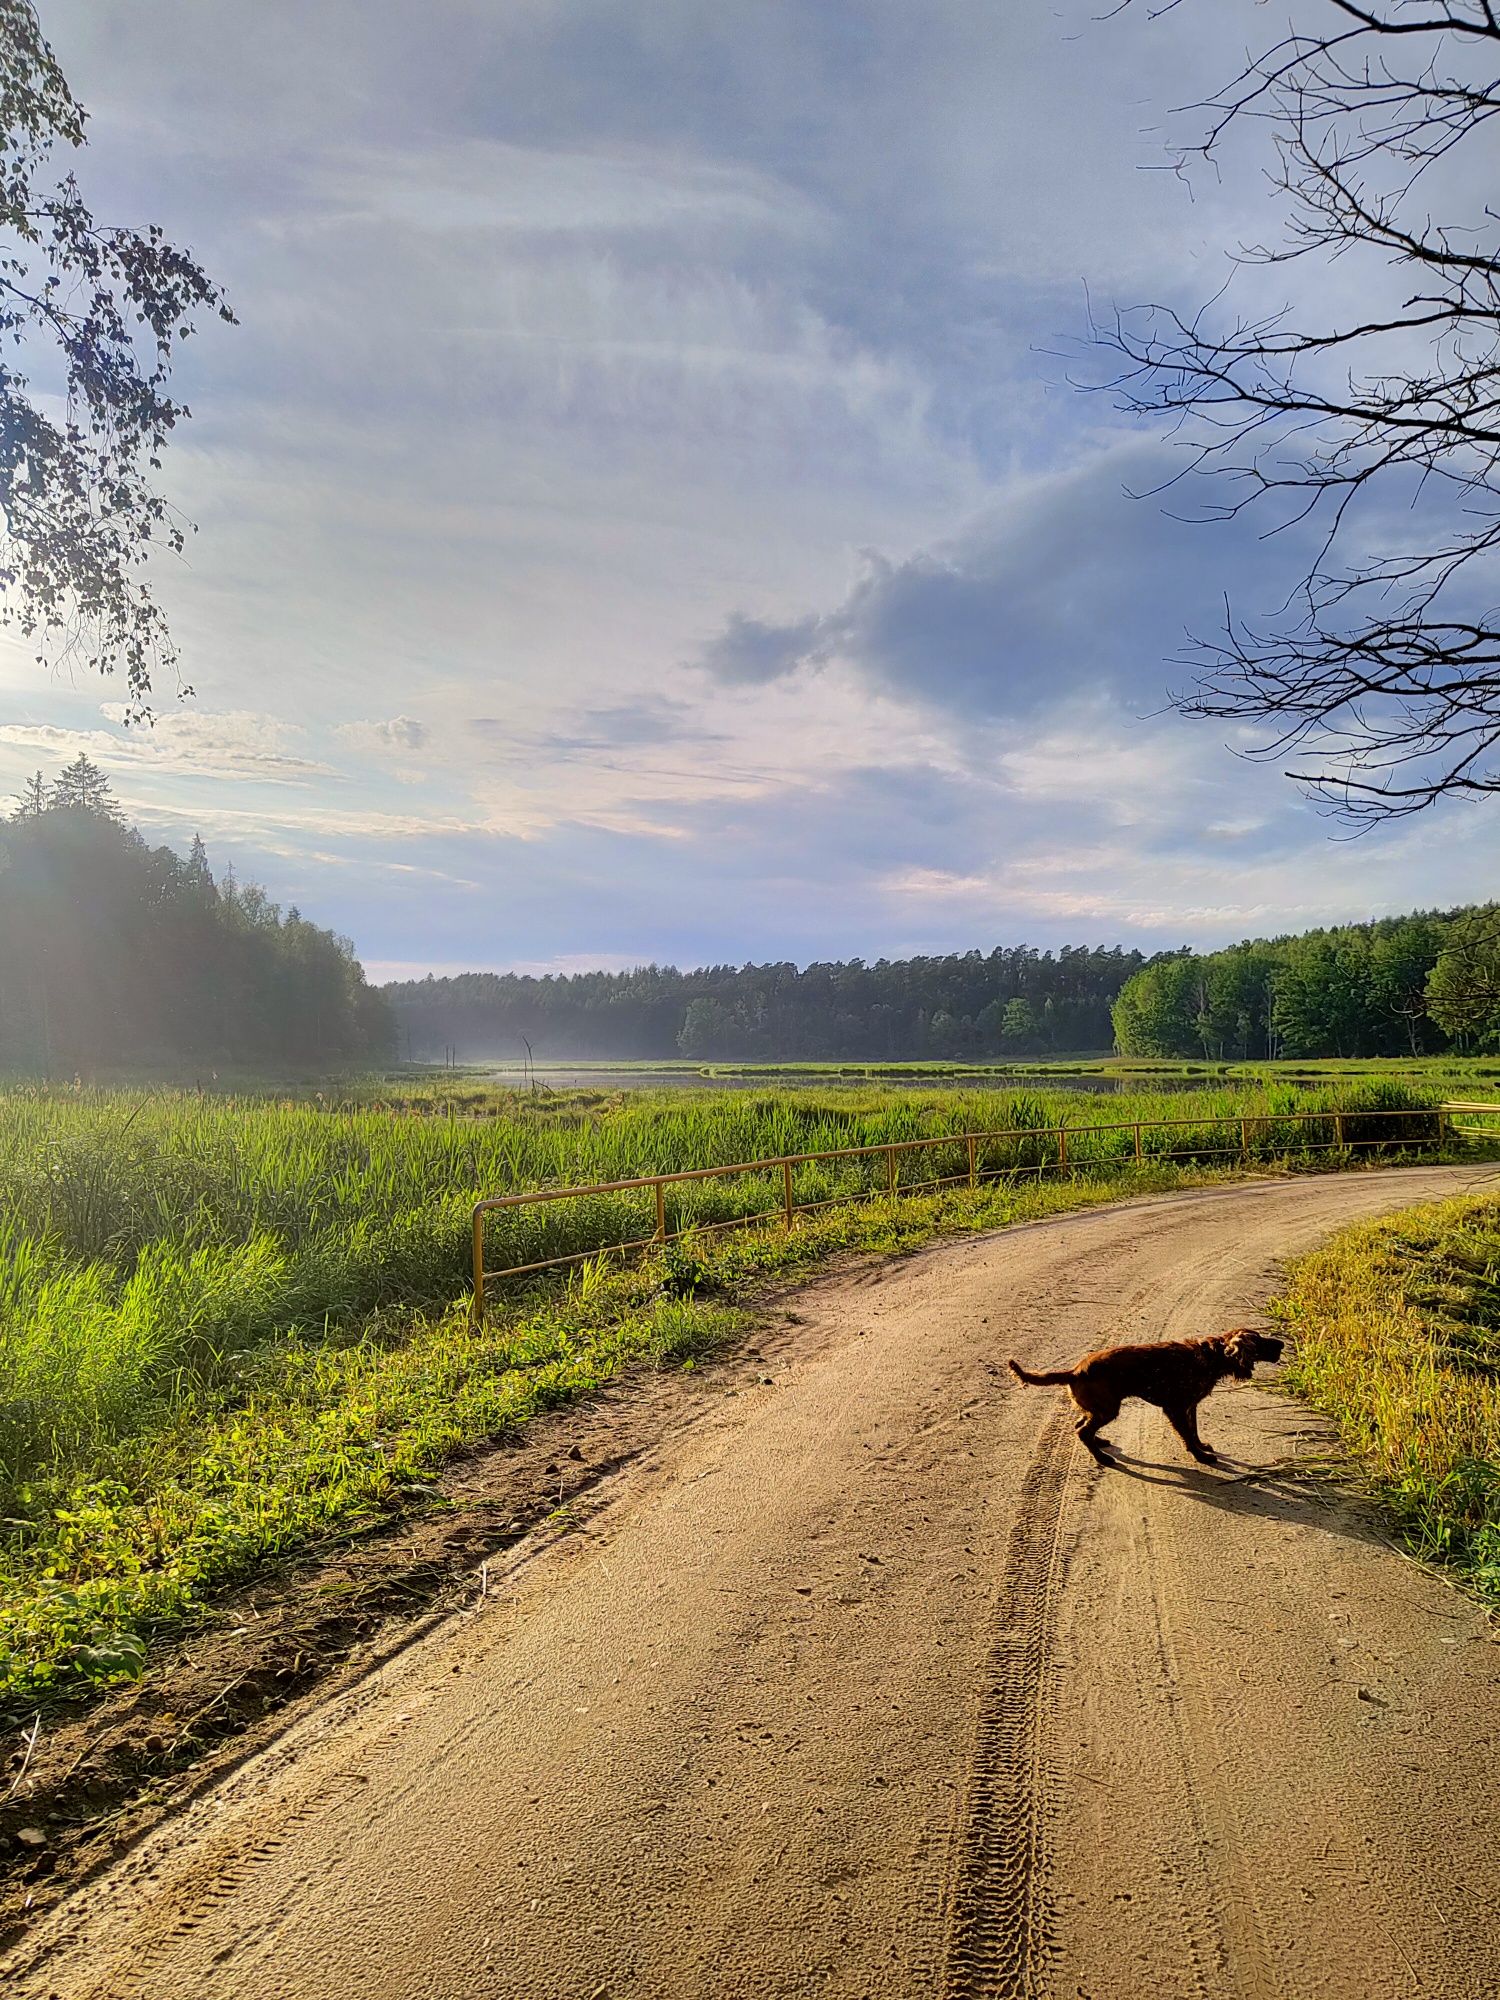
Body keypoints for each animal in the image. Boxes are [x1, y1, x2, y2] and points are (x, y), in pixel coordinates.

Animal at [1004, 1328, 1288, 1472]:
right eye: (1260, 1340)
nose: (1282, 1344)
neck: (1212, 1356)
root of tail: (1075, 1371)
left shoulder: (1190, 1406)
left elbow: (1194, 1431)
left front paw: (1202, 1447)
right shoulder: (1175, 1408)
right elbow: (1187, 1436)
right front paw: (1200, 1457)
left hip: (1099, 1408)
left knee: (1080, 1426)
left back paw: (1101, 1443)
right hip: (1108, 1408)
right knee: (1082, 1431)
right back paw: (1102, 1458)